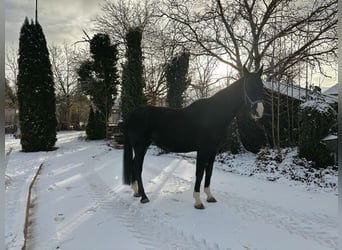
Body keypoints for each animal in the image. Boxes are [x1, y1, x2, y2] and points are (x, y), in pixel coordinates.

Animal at [123, 66, 264, 209]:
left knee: (134, 165)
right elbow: (199, 173)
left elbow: (209, 172)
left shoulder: (213, 151)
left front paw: (209, 196)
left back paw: (137, 192)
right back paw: (144, 197)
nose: (259, 110)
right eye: (248, 85)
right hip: (140, 146)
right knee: (137, 167)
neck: (214, 114)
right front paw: (198, 202)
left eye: (262, 86)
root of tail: (132, 114)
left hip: (144, 146)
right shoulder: (202, 150)